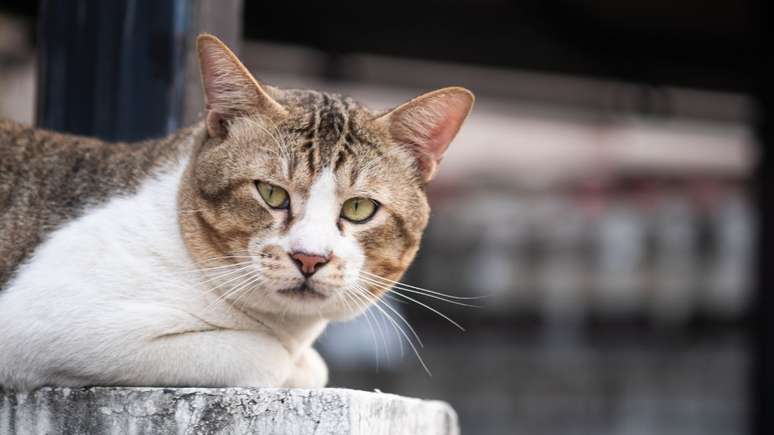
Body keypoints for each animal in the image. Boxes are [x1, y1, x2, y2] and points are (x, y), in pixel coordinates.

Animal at [0, 35, 472, 392]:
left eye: (359, 208)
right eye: (271, 194)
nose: (310, 258)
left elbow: (311, 366)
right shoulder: (44, 324)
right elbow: (271, 358)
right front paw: (289, 364)